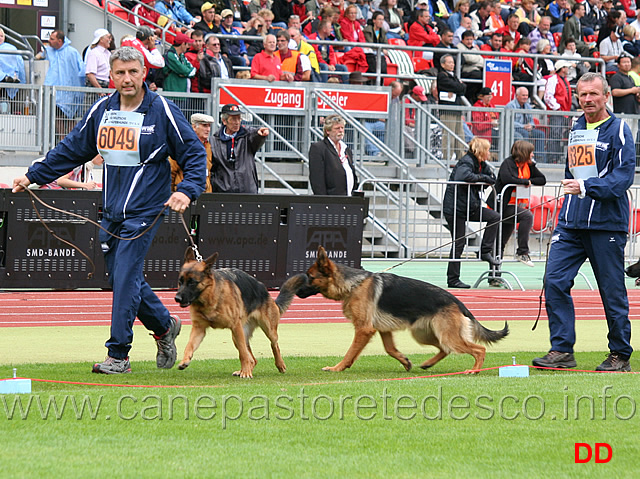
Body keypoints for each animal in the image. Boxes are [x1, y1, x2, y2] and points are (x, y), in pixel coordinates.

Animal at [175, 248, 304, 378]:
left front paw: (246, 372)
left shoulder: (235, 327)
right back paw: (243, 370)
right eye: (180, 281)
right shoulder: (199, 329)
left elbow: (242, 354)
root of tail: (264, 290)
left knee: (273, 345)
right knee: (253, 359)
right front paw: (184, 360)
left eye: (192, 282)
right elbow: (189, 346)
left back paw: (279, 364)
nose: (177, 298)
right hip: (238, 335)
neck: (210, 298)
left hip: (266, 330)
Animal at [292, 248, 510, 376]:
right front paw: (405, 361)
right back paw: (428, 364)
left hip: (446, 336)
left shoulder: (364, 329)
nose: (295, 291)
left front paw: (337, 368)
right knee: (444, 349)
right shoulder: (382, 330)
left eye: (310, 277)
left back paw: (474, 370)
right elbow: (390, 349)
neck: (353, 284)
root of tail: (458, 302)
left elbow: (350, 352)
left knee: (478, 349)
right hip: (424, 334)